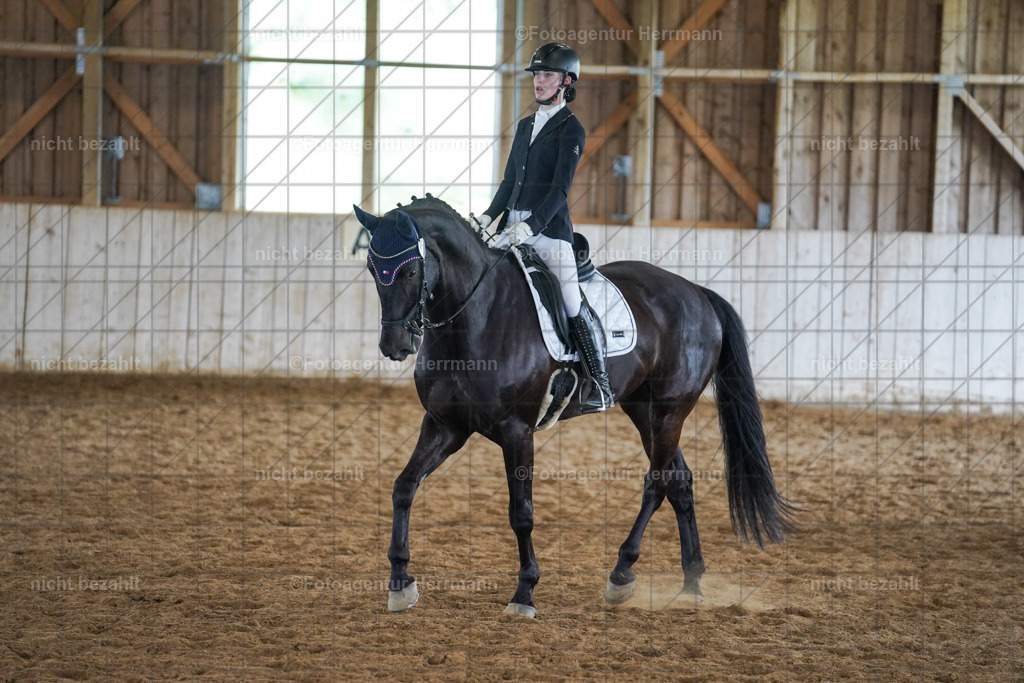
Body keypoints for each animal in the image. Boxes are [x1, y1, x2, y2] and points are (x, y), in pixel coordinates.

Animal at [354, 196, 796, 618]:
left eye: (411, 272)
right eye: (374, 270)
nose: (395, 346)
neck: (476, 318)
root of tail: (696, 292)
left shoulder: (517, 431)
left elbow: (521, 512)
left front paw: (525, 592)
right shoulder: (445, 425)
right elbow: (404, 487)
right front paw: (400, 583)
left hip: (670, 410)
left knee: (656, 484)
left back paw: (621, 575)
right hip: (644, 411)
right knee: (680, 481)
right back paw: (691, 584)